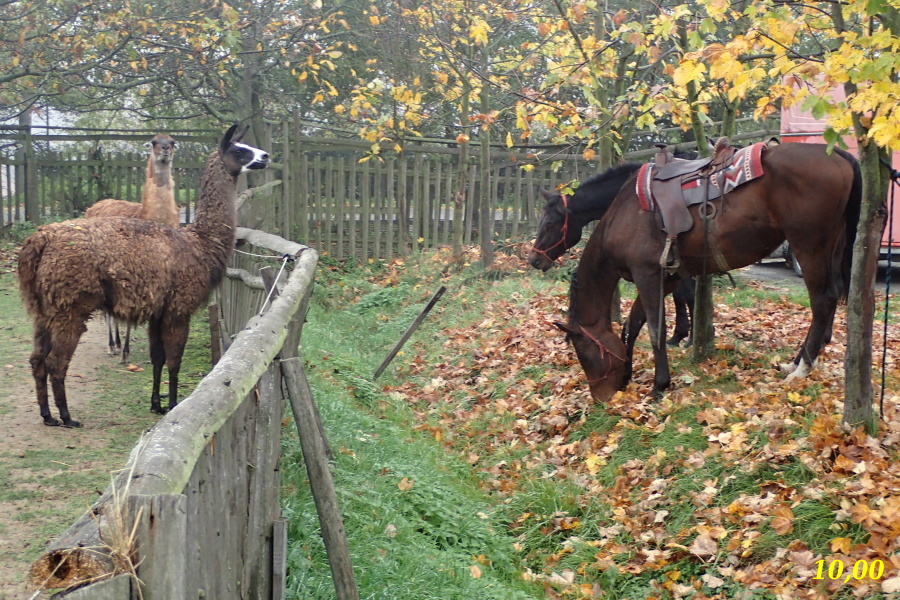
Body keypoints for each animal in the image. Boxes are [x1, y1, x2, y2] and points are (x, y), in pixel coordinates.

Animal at [528, 163, 696, 346]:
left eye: (549, 223)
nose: (534, 260)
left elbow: (686, 294)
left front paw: (688, 338)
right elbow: (681, 294)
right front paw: (679, 335)